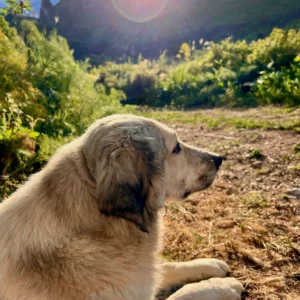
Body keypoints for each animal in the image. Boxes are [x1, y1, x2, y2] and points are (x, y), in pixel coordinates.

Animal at [0, 115, 243, 300]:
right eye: (176, 149)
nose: (218, 158)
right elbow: (184, 294)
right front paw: (221, 286)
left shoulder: (141, 275)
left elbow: (166, 266)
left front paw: (208, 265)